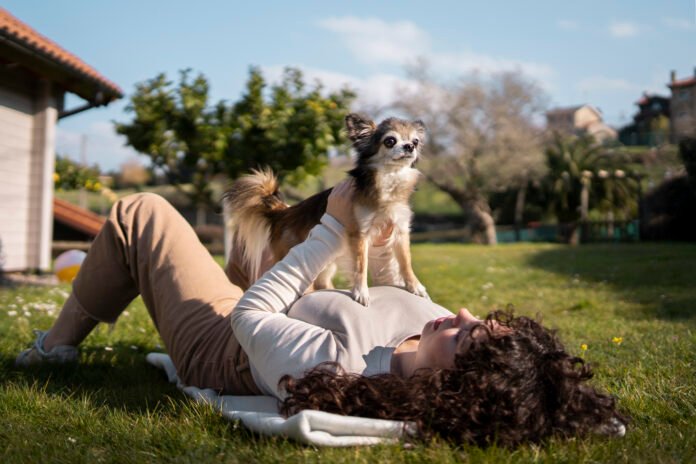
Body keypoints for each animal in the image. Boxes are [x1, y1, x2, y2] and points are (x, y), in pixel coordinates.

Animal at [224, 113, 430, 304]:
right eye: (390, 141)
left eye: (415, 141)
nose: (409, 146)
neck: (390, 179)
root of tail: (283, 212)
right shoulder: (360, 233)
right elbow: (360, 265)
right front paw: (361, 292)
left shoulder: (400, 230)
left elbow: (405, 262)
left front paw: (415, 286)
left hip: (326, 263)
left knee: (321, 282)